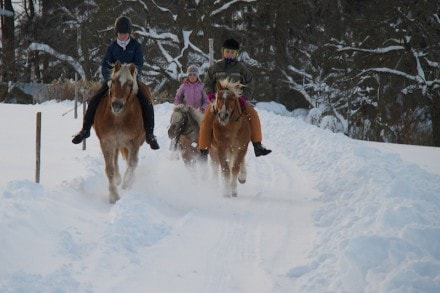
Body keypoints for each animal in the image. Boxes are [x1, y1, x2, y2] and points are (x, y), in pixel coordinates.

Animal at [92, 61, 152, 203]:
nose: (117, 105)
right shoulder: (106, 142)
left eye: (130, 84)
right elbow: (109, 169)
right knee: (116, 158)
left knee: (132, 160)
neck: (118, 118)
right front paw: (113, 196)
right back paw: (118, 178)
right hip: (116, 143)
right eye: (113, 81)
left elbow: (132, 163)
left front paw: (127, 182)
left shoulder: (134, 141)